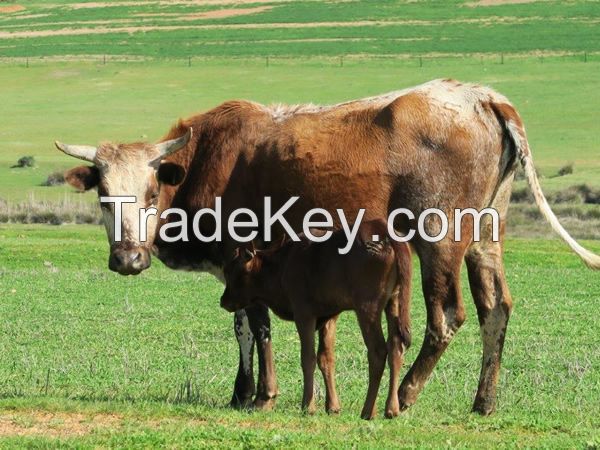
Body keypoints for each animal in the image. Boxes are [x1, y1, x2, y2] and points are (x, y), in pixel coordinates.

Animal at [220, 220, 412, 420]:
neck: (283, 264)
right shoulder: (329, 316)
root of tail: (383, 229)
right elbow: (326, 358)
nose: (223, 301)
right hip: (394, 302)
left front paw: (308, 406)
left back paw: (368, 410)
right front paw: (332, 407)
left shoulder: (304, 314)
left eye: (230, 271)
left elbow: (308, 358)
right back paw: (392, 408)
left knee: (378, 351)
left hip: (368, 308)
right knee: (396, 347)